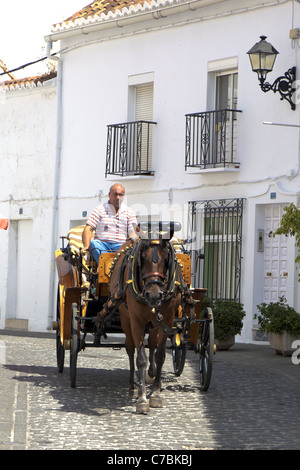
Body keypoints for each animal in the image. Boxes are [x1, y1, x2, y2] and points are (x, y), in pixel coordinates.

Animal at [97, 224, 196, 414]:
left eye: (166, 257)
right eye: (142, 257)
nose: (154, 294)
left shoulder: (168, 319)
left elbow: (159, 356)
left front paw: (156, 394)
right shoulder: (137, 321)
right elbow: (140, 358)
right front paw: (142, 399)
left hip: (155, 324)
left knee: (152, 345)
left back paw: (150, 375)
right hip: (125, 318)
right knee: (130, 349)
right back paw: (132, 387)